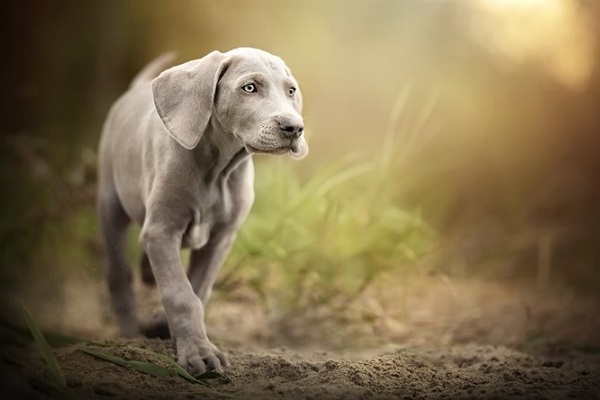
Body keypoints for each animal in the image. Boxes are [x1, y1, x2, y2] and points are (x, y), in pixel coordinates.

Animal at [97, 47, 310, 376]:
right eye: (250, 88)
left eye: (291, 90)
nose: (294, 128)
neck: (217, 171)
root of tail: (136, 88)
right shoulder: (162, 231)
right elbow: (180, 294)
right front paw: (199, 353)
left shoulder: (220, 239)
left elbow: (198, 289)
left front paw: (168, 328)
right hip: (111, 203)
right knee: (118, 272)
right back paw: (129, 335)